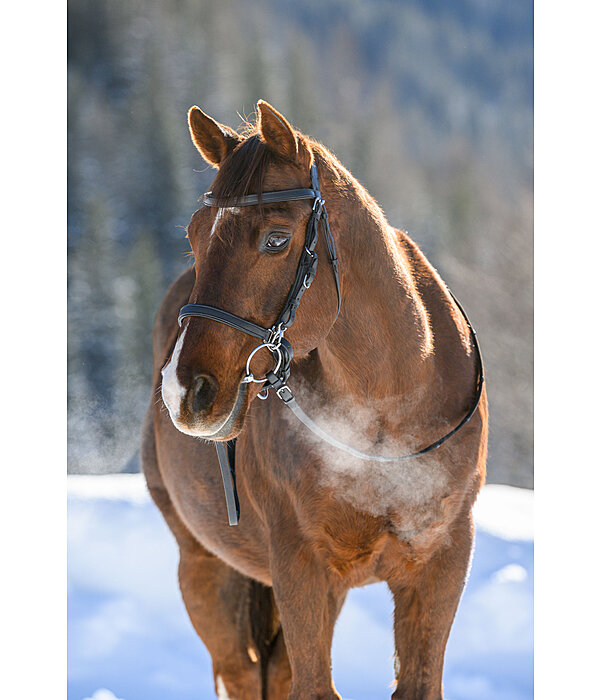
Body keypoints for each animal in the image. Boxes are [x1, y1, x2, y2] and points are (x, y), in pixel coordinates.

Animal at [142, 100, 488, 700]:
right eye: (194, 235)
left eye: (277, 239)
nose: (185, 390)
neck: (386, 416)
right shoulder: (299, 566)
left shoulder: (440, 563)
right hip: (205, 566)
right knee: (241, 669)